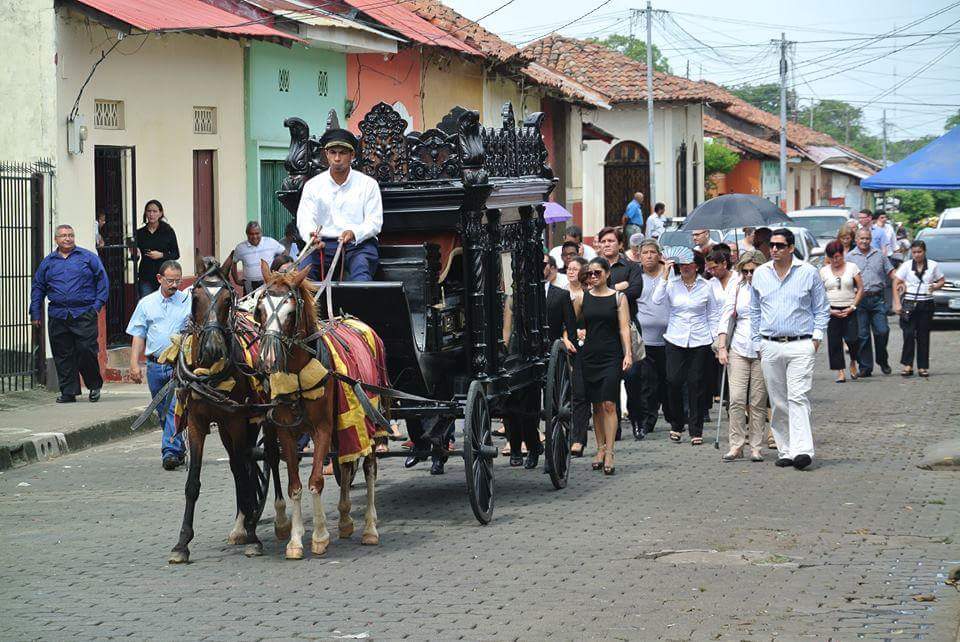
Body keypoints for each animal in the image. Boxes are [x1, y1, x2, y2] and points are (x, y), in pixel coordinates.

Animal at [168, 255, 288, 560]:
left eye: (226, 299)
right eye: (195, 298)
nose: (212, 348)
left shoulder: (236, 420)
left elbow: (247, 469)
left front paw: (253, 537)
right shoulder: (197, 423)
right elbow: (193, 483)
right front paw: (182, 543)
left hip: (263, 416)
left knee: (268, 457)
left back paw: (277, 519)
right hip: (232, 424)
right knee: (241, 463)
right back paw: (242, 522)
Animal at [258, 258, 386, 556]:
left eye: (290, 312)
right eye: (260, 309)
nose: (267, 358)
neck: (299, 372)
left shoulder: (323, 429)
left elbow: (316, 480)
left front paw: (319, 535)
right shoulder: (287, 432)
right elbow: (295, 485)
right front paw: (295, 540)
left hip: (370, 419)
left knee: (369, 467)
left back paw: (370, 528)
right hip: (347, 424)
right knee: (346, 463)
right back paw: (345, 518)